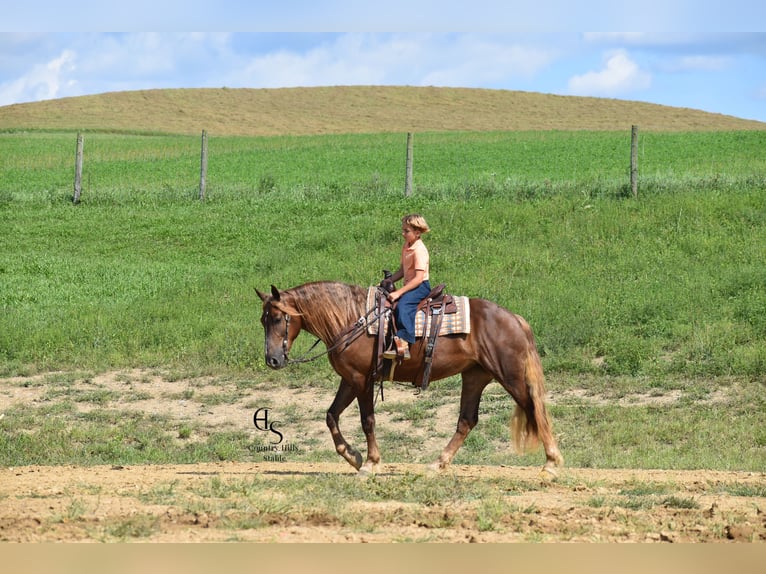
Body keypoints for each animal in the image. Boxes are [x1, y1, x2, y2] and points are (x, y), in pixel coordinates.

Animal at [256, 281, 563, 477]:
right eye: (263, 320)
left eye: (277, 318)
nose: (273, 359)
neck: (352, 319)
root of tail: (514, 318)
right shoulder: (350, 379)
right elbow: (331, 415)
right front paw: (353, 457)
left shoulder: (363, 379)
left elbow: (367, 420)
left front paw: (370, 463)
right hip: (475, 376)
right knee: (467, 421)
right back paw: (438, 464)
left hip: (509, 376)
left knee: (534, 409)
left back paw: (551, 463)